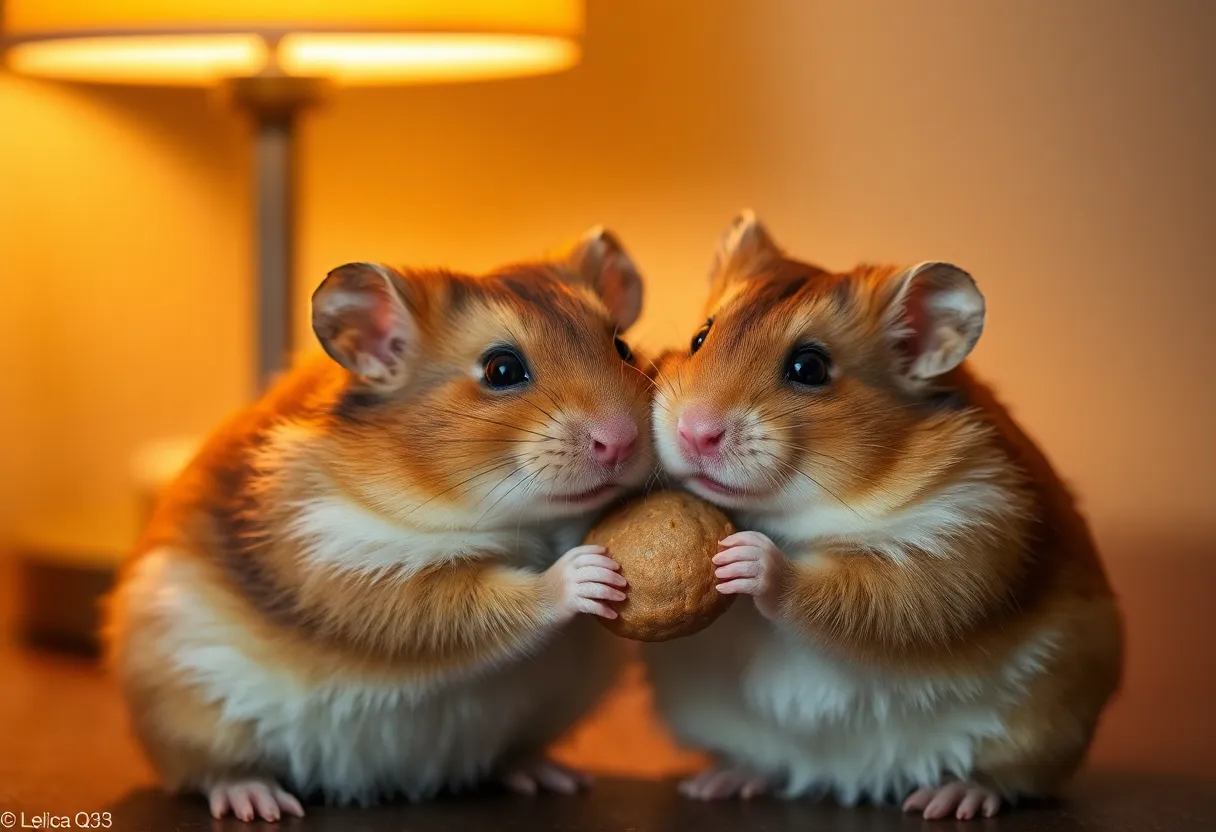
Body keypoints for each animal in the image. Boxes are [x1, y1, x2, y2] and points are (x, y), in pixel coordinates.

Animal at [104, 228, 654, 822]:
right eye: (502, 370)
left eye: (622, 347)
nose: (621, 442)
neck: (515, 518)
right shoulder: (343, 565)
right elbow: (478, 602)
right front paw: (591, 572)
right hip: (187, 708)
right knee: (209, 771)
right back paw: (259, 801)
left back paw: (551, 775)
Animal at [644, 212, 1123, 820]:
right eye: (699, 338)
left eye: (809, 367)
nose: (694, 431)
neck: (793, 510)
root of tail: (850, 777)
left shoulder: (963, 534)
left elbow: (860, 594)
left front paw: (745, 557)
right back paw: (718, 782)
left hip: (1045, 723)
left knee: (1011, 778)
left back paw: (949, 799)